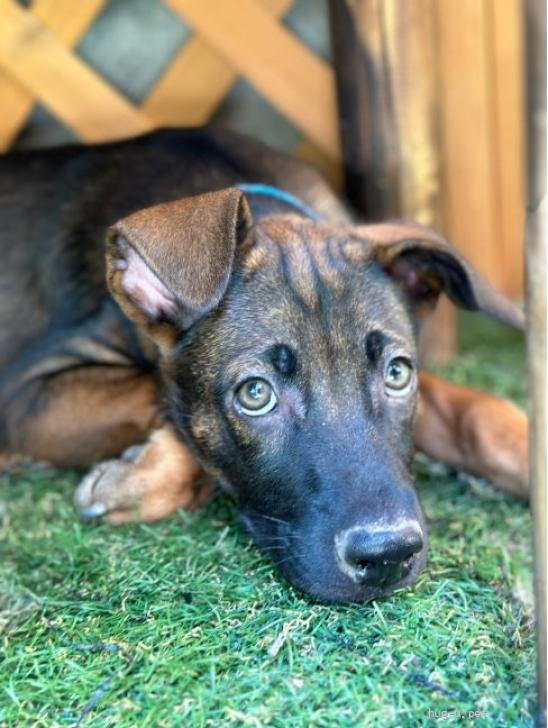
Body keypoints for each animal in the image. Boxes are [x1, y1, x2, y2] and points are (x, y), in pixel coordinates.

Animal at [0, 128, 528, 602]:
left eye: (397, 373)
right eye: (256, 394)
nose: (388, 556)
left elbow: (471, 410)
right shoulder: (25, 395)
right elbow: (164, 399)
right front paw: (141, 479)